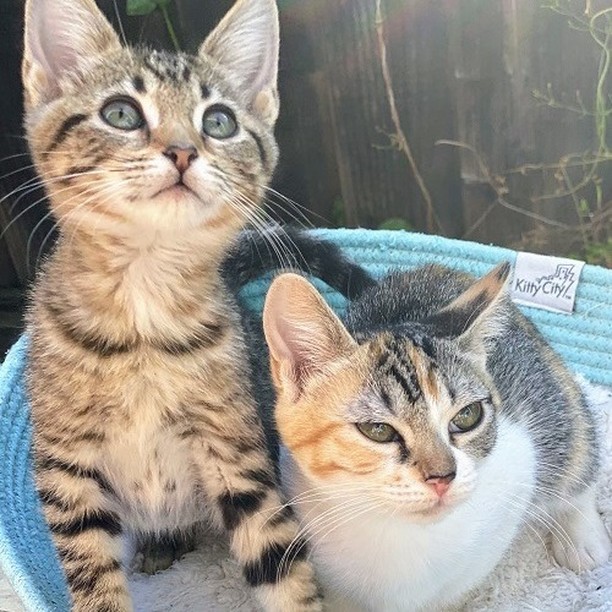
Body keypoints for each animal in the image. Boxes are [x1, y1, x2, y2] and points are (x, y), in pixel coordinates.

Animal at [21, 2, 356, 608]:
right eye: (121, 113)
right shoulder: (66, 467)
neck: (144, 315)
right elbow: (93, 577)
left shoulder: (236, 453)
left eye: (219, 121)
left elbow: (280, 562)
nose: (182, 151)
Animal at [264, 266, 612, 608]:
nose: (442, 477)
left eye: (467, 416)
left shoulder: (518, 467)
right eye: (378, 430)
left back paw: (583, 537)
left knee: (577, 451)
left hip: (549, 398)